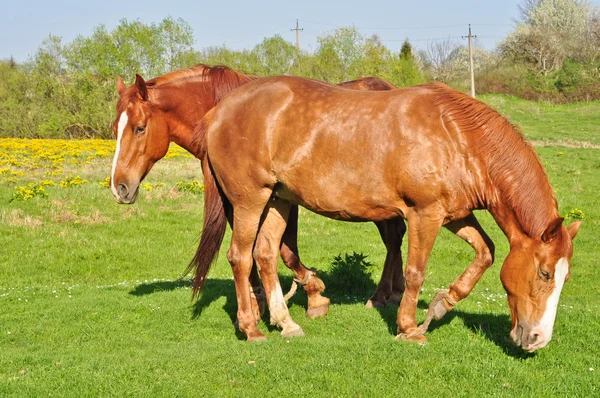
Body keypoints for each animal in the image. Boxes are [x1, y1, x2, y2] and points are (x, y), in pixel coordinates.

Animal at [109, 65, 404, 320]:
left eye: (139, 128)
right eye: (115, 129)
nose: (119, 187)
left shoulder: (280, 199)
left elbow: (285, 251)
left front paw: (313, 293)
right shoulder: (240, 200)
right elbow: (249, 248)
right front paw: (258, 299)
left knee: (393, 238)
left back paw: (381, 296)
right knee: (396, 236)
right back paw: (394, 292)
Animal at [191, 75, 580, 352]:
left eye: (564, 276)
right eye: (545, 273)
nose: (538, 339)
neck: (457, 136)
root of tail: (220, 111)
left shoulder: (454, 214)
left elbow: (486, 252)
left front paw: (442, 305)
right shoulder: (425, 214)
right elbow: (416, 272)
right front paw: (409, 328)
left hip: (278, 200)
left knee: (266, 254)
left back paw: (287, 323)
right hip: (249, 201)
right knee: (240, 257)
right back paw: (252, 328)